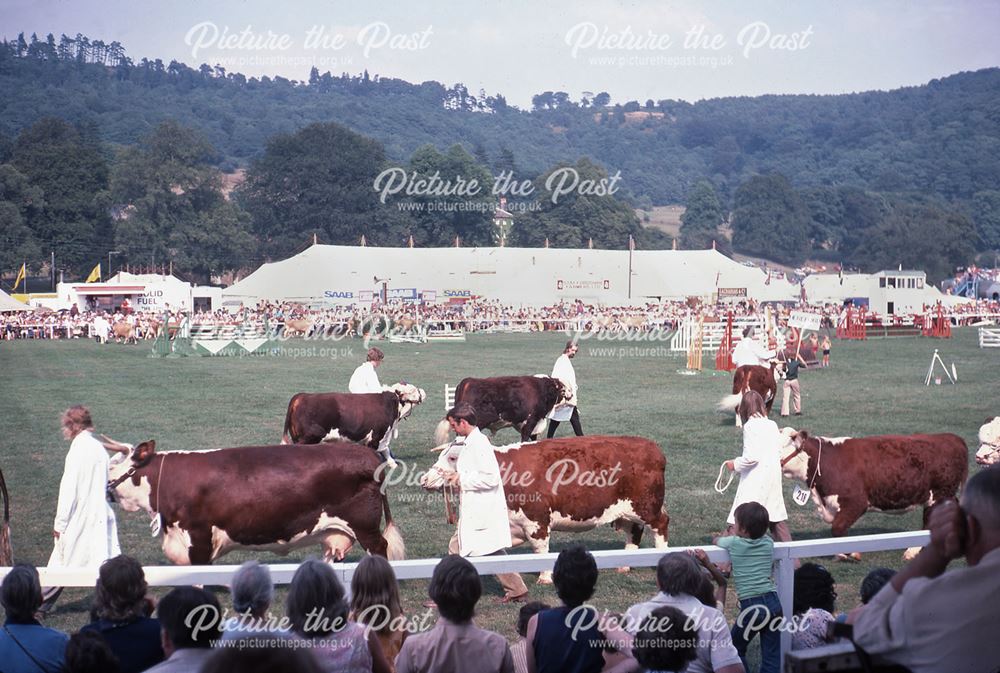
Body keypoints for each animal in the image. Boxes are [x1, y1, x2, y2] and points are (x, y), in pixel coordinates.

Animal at [108, 438, 402, 564]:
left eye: (111, 465)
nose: (106, 488)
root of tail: (368, 453)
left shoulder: (199, 539)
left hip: (366, 527)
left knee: (380, 549)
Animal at [282, 384, 426, 462]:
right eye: (412, 390)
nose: (423, 391)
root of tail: (301, 396)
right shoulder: (376, 436)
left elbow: (385, 451)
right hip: (310, 436)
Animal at [418, 436, 668, 584]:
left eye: (452, 458)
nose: (424, 479)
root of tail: (651, 446)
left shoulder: (537, 521)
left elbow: (541, 550)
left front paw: (545, 577)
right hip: (628, 511)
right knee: (634, 532)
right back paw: (625, 564)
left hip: (647, 507)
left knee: (661, 525)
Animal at [780, 428, 968, 560]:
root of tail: (952, 438)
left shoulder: (856, 502)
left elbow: (837, 528)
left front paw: (852, 553)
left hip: (940, 493)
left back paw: (912, 551)